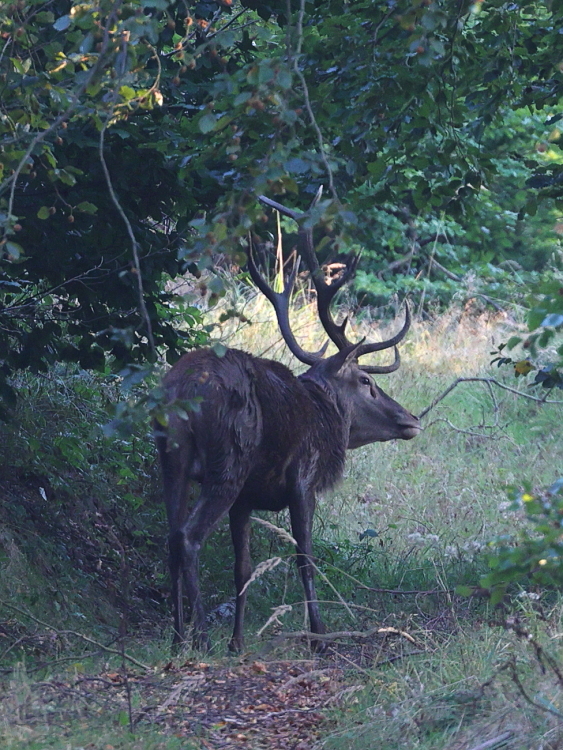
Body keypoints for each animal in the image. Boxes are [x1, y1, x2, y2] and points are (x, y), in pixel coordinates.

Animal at [156, 192, 420, 652]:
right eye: (366, 381)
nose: (411, 418)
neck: (326, 415)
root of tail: (182, 392)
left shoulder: (247, 498)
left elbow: (243, 568)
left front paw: (238, 642)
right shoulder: (303, 477)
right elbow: (304, 559)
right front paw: (319, 635)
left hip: (170, 460)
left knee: (171, 535)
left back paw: (175, 638)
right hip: (227, 462)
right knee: (188, 538)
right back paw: (200, 637)